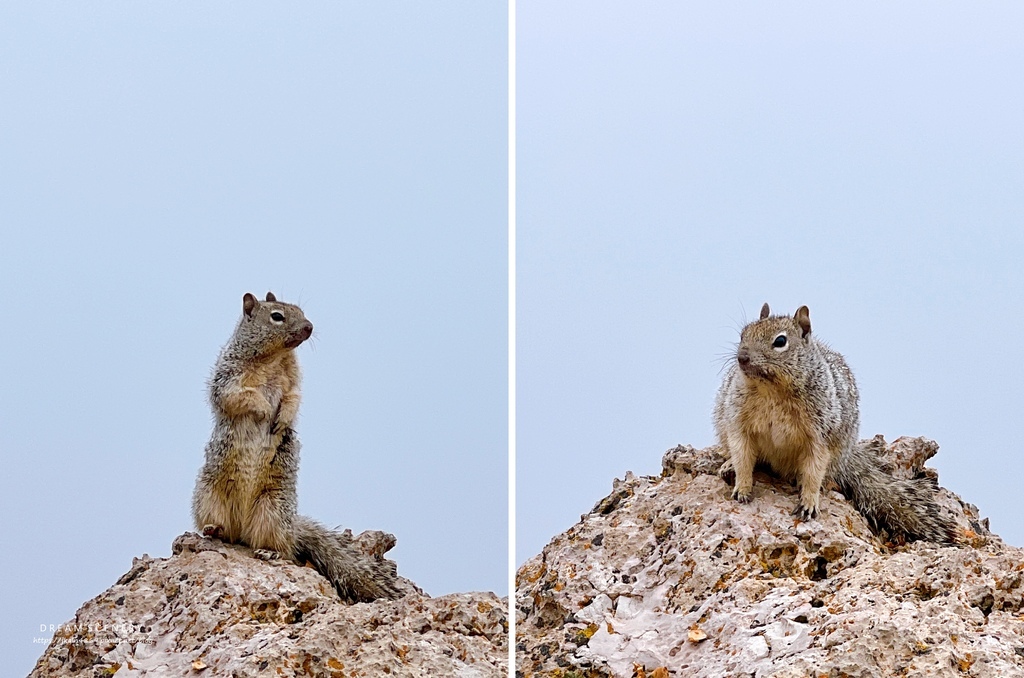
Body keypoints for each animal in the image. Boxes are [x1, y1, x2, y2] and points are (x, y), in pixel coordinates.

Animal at [190, 294, 401, 602]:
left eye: (301, 311)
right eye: (277, 316)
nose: (309, 327)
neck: (273, 357)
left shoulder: (294, 381)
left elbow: (293, 398)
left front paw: (281, 418)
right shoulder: (227, 376)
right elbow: (238, 395)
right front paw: (264, 409)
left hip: (273, 509)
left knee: (284, 549)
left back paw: (271, 552)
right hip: (209, 496)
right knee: (227, 533)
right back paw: (214, 530)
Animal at [716, 305, 954, 544]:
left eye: (780, 341)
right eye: (743, 334)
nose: (742, 357)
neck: (771, 390)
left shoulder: (820, 435)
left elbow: (814, 470)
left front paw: (809, 501)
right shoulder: (737, 422)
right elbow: (742, 455)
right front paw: (742, 487)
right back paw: (728, 465)